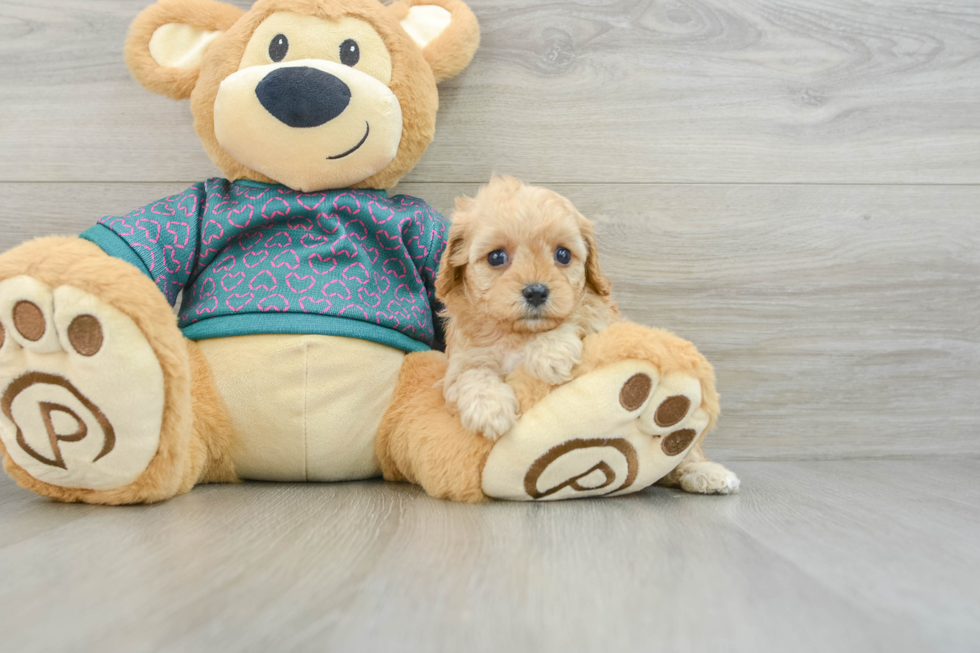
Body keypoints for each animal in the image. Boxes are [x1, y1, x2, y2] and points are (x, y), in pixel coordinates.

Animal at [436, 174, 620, 438]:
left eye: (563, 255)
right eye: (496, 257)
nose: (536, 292)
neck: (519, 334)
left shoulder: (605, 319)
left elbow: (580, 312)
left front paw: (550, 352)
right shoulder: (460, 361)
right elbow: (470, 374)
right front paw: (489, 410)